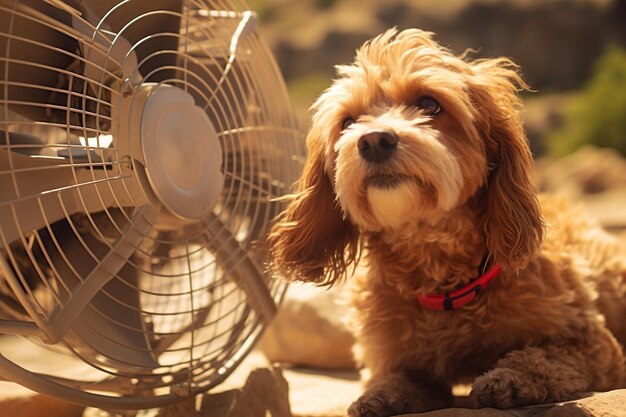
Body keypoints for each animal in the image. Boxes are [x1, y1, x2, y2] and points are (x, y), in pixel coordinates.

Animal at [268, 29, 624, 416]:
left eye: (430, 104)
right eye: (348, 122)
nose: (374, 140)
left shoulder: (595, 346)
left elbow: (545, 358)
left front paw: (508, 378)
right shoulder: (393, 356)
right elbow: (392, 380)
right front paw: (377, 396)